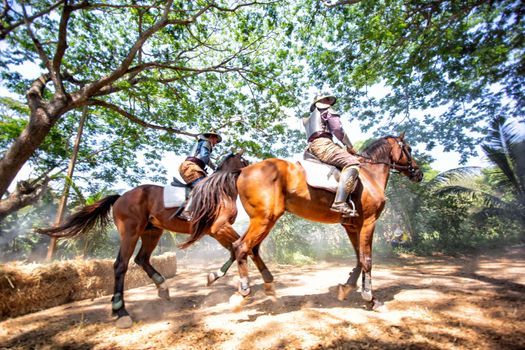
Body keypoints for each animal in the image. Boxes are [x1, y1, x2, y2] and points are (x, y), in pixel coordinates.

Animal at [36, 152, 274, 328]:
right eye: (245, 162)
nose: (257, 176)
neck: (220, 189)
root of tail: (121, 196)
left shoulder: (215, 231)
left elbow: (238, 250)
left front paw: (218, 277)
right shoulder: (218, 228)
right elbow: (242, 248)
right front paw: (251, 283)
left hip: (152, 232)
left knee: (141, 259)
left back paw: (162, 287)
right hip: (130, 232)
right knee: (121, 265)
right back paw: (121, 312)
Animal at [180, 133, 422, 308]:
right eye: (409, 149)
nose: (418, 173)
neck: (369, 175)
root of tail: (242, 171)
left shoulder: (352, 225)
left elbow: (358, 259)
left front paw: (347, 288)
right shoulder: (368, 222)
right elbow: (367, 260)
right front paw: (370, 298)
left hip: (264, 220)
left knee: (248, 248)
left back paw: (254, 282)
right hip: (264, 219)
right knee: (241, 247)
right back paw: (243, 292)